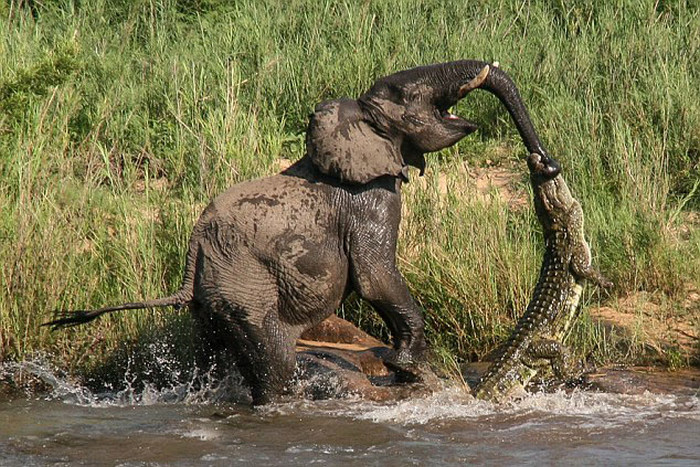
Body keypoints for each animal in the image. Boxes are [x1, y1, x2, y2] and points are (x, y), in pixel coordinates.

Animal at [45, 59, 556, 406]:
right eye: (403, 93)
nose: (545, 163)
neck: (353, 123)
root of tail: (194, 250)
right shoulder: (371, 199)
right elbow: (375, 277)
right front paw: (406, 368)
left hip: (213, 298)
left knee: (214, 353)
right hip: (244, 284)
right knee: (275, 359)